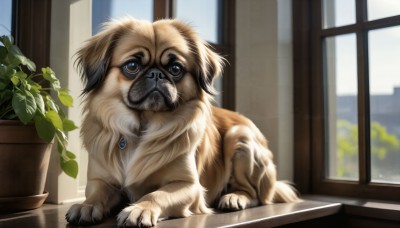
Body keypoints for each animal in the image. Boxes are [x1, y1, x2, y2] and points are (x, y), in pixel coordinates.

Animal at [65, 17, 298, 226]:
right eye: (132, 66)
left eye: (175, 69)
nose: (156, 74)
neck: (142, 127)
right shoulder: (100, 181)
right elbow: (97, 195)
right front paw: (86, 206)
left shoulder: (189, 186)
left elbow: (155, 194)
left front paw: (139, 209)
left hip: (239, 136)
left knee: (255, 193)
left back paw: (234, 197)